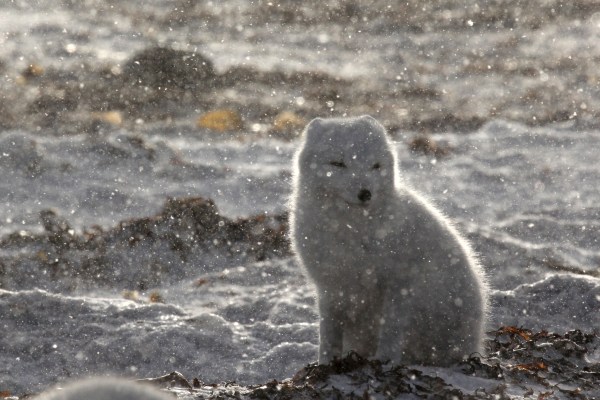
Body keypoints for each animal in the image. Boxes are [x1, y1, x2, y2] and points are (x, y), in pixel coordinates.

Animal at [290, 115, 488, 366]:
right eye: (338, 164)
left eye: (375, 166)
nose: (365, 193)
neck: (351, 229)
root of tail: (476, 343)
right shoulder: (329, 287)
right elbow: (328, 332)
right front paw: (325, 364)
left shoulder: (398, 282)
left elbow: (391, 329)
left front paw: (385, 360)